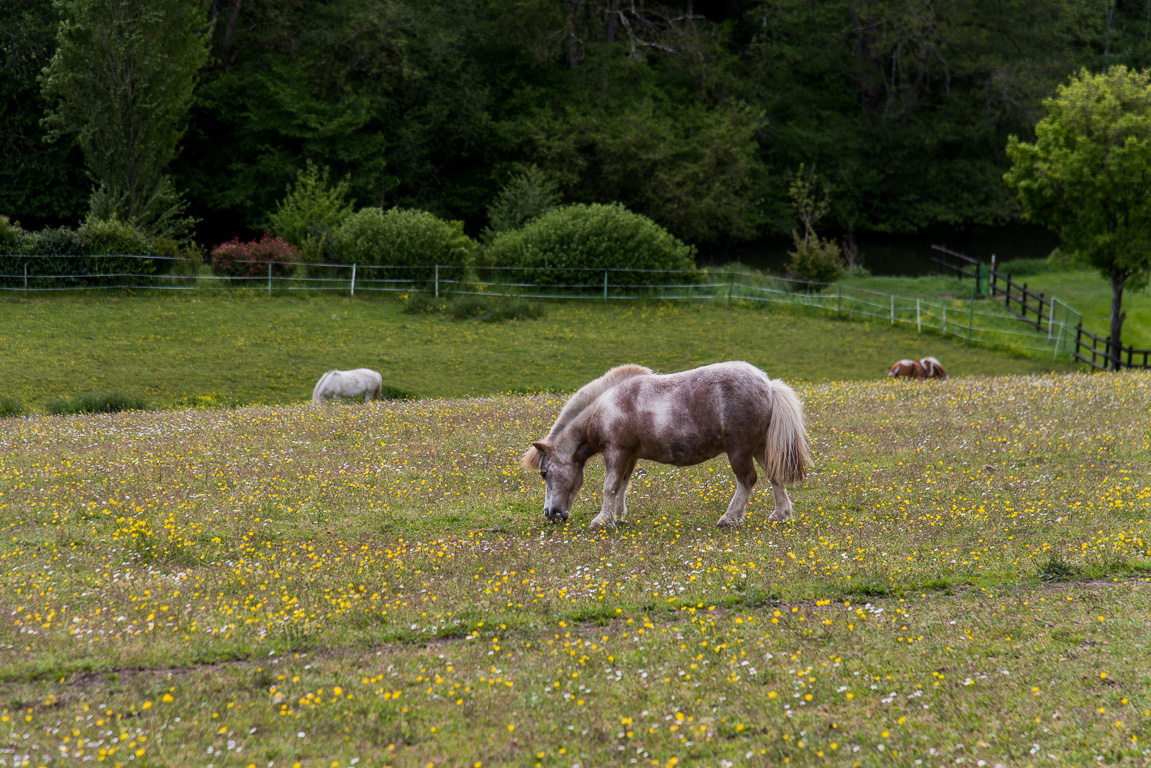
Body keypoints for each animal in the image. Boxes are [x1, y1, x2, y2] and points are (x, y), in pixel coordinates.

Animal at [517, 361, 814, 531]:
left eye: (544, 473)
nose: (551, 514)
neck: (605, 407)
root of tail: (768, 385)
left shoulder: (616, 452)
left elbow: (609, 487)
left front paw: (601, 520)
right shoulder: (629, 456)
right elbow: (622, 485)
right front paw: (618, 516)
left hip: (739, 450)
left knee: (747, 480)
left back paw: (729, 518)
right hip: (760, 448)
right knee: (774, 477)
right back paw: (780, 515)